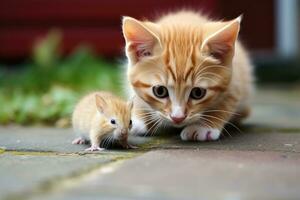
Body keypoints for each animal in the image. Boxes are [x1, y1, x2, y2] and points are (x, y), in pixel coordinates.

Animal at [122, 10, 253, 141]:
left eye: (198, 93)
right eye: (160, 91)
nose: (177, 118)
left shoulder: (236, 78)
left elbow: (226, 102)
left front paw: (204, 127)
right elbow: (136, 97)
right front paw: (139, 118)